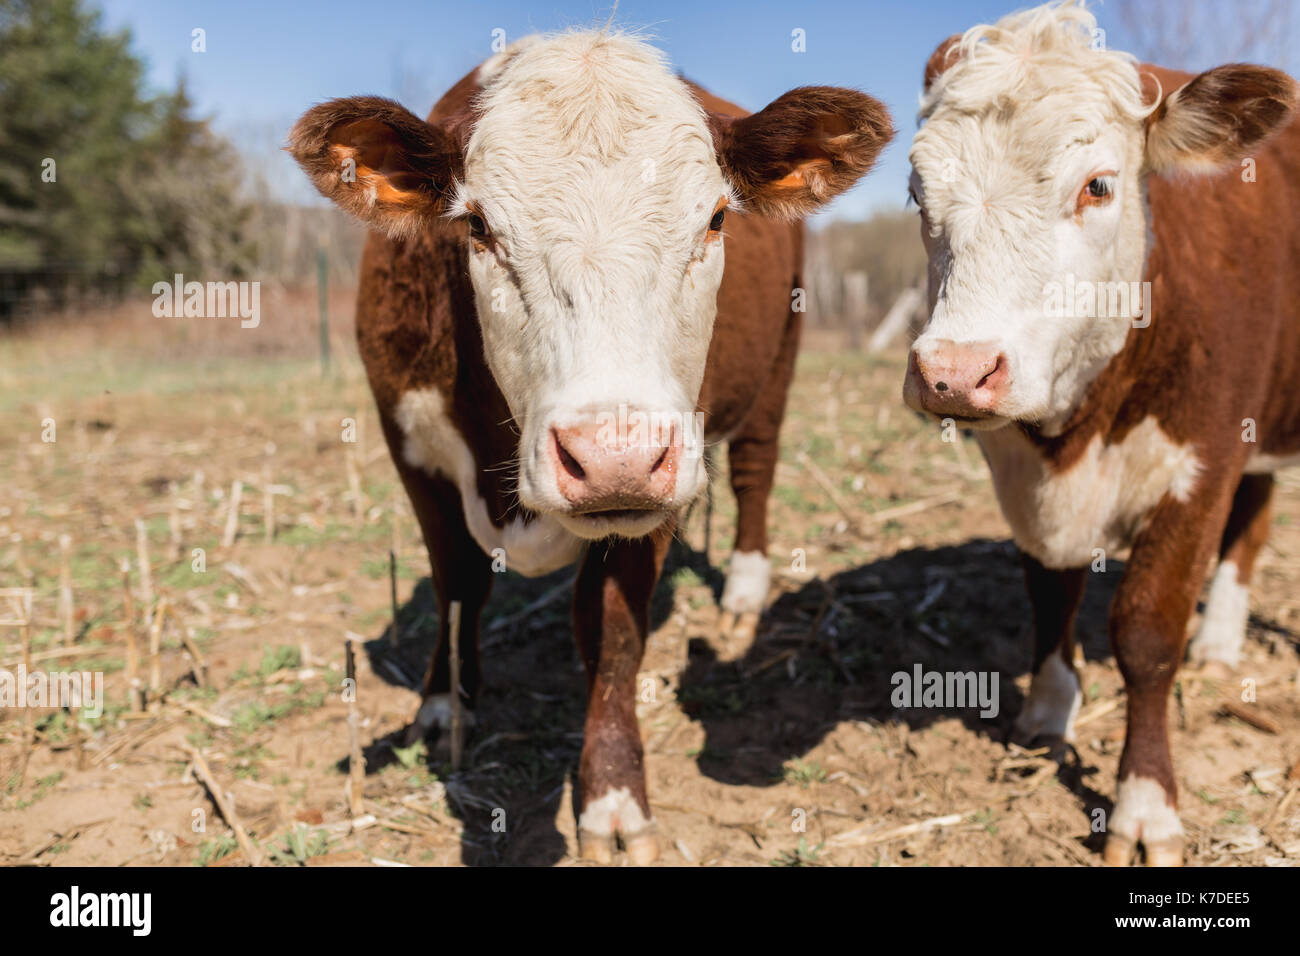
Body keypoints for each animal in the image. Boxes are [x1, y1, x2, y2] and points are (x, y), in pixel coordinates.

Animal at [289, 31, 889, 868]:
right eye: (476, 226)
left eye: (715, 219)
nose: (615, 457)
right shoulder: (408, 444)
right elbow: (455, 581)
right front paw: (445, 702)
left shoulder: (660, 481)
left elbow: (612, 633)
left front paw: (611, 798)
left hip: (780, 360)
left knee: (756, 471)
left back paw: (742, 593)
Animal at [904, 1, 1300, 868]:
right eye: (916, 194)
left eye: (1098, 186)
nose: (953, 371)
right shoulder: (1022, 474)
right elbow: (1050, 591)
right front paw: (1048, 713)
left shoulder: (1203, 461)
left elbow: (1146, 632)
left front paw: (1145, 803)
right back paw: (1221, 640)